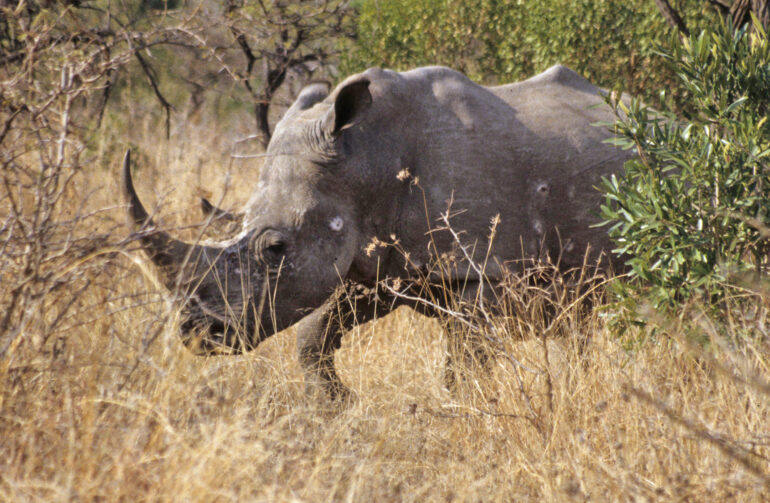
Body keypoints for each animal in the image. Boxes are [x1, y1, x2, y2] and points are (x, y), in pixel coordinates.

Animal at [122, 65, 632, 399]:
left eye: (276, 248)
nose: (196, 332)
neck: (365, 161)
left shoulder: (481, 265)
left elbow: (465, 361)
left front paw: (463, 411)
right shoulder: (378, 263)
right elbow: (312, 334)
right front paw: (338, 404)